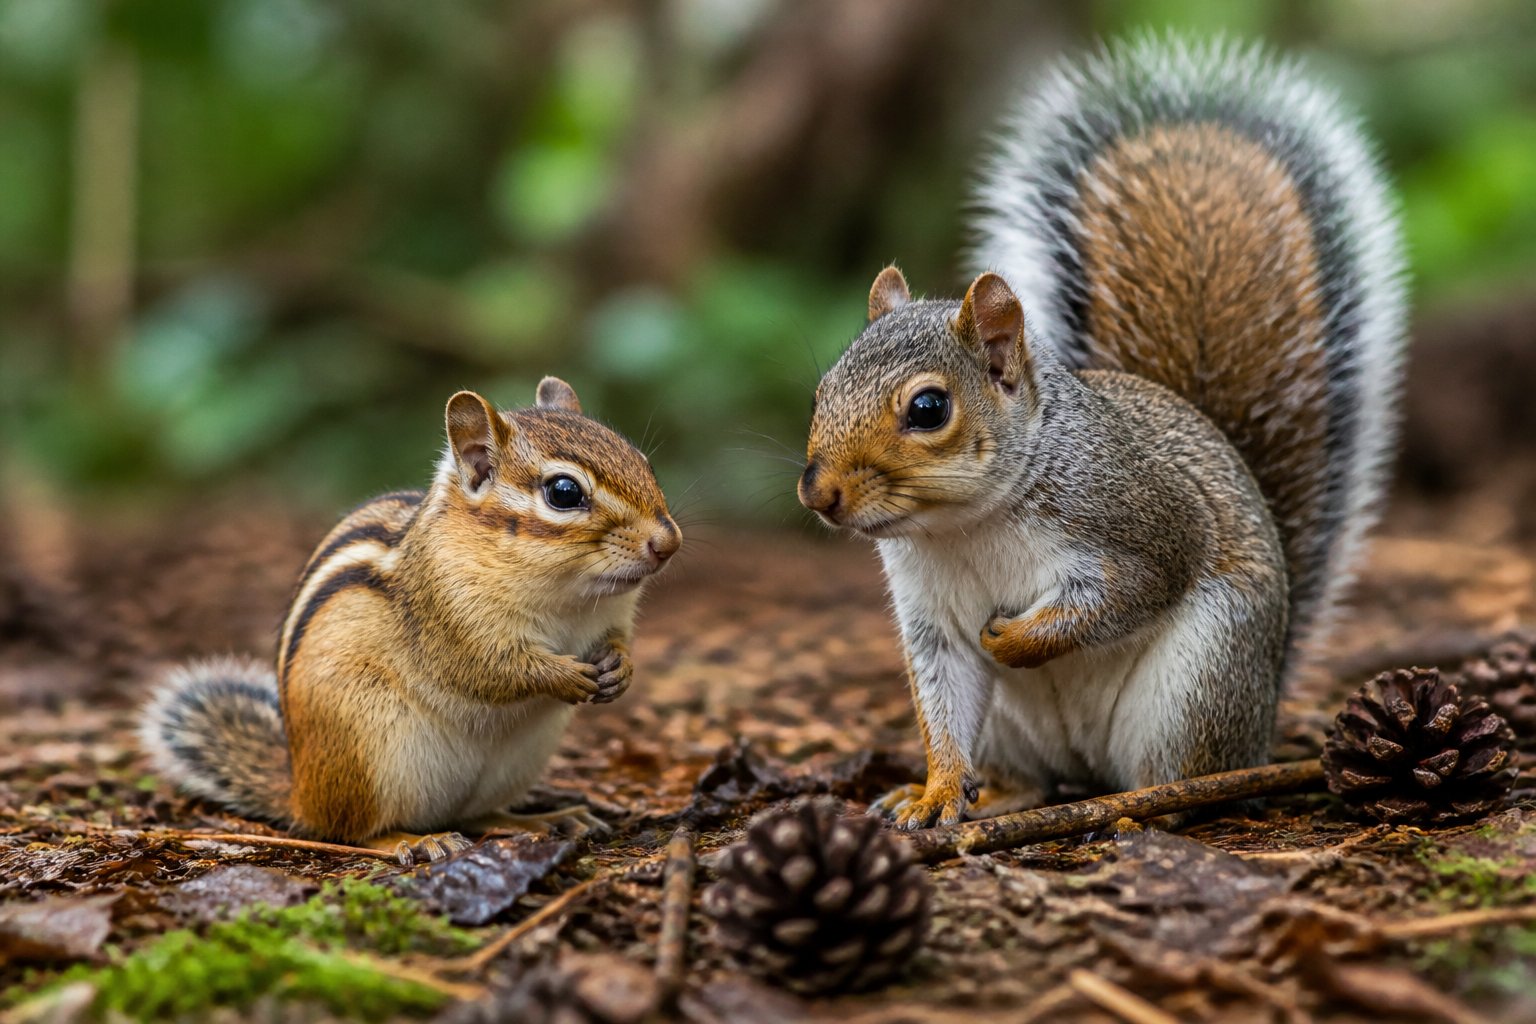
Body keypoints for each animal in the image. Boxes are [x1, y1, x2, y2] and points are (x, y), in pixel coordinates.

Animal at [140, 378, 681, 859]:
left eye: (644, 462)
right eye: (564, 492)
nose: (668, 543)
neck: (570, 596)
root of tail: (300, 790)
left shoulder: (612, 618)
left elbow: (618, 642)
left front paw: (620, 669)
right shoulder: (451, 621)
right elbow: (495, 670)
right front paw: (565, 676)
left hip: (514, 763)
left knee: (478, 816)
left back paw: (548, 819)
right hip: (369, 755)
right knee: (350, 830)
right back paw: (413, 841)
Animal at [799, 36, 1406, 829]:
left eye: (928, 409)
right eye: (821, 392)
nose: (818, 494)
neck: (964, 525)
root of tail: (1266, 706)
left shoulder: (1140, 520)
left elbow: (1131, 592)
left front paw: (1015, 640)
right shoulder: (931, 622)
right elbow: (942, 706)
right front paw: (934, 793)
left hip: (1197, 683)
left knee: (1187, 777)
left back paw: (1147, 805)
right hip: (1017, 733)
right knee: (1033, 777)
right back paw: (1001, 793)